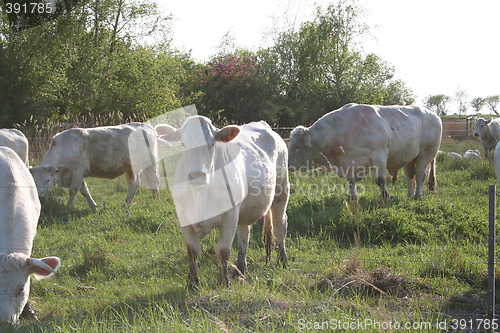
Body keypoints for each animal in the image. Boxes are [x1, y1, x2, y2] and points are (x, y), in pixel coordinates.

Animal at [28, 122, 160, 210]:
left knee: (153, 181)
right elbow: (84, 190)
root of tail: (146, 126)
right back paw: (126, 204)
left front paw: (69, 207)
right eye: (34, 181)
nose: (40, 197)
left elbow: (73, 190)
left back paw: (155, 200)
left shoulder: (78, 172)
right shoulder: (78, 175)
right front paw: (93, 206)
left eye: (48, 180)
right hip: (131, 168)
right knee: (134, 185)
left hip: (150, 164)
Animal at [156, 115, 290, 286]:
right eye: (183, 145)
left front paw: (224, 282)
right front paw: (192, 283)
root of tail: (262, 124)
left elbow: (223, 251)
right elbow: (192, 251)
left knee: (280, 226)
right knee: (244, 233)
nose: (196, 175)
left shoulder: (230, 216)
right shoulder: (185, 218)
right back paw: (239, 270)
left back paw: (283, 260)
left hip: (281, 191)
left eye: (212, 143)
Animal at [290, 102, 442, 198]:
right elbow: (351, 181)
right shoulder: (349, 164)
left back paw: (418, 195)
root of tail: (431, 112)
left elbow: (380, 180)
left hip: (426, 154)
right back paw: (409, 195)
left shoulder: (379, 156)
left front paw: (386, 196)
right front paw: (352, 197)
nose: (288, 165)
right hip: (410, 157)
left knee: (420, 174)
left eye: (297, 147)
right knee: (410, 176)